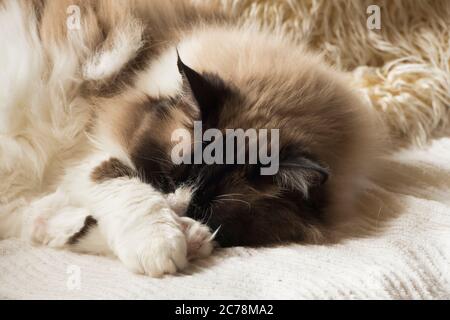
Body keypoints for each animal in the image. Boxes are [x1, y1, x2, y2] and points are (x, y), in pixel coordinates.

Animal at [0, 0, 384, 276]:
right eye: (166, 178)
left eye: (204, 207)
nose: (175, 206)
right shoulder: (92, 151)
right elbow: (124, 188)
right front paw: (165, 242)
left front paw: (192, 236)